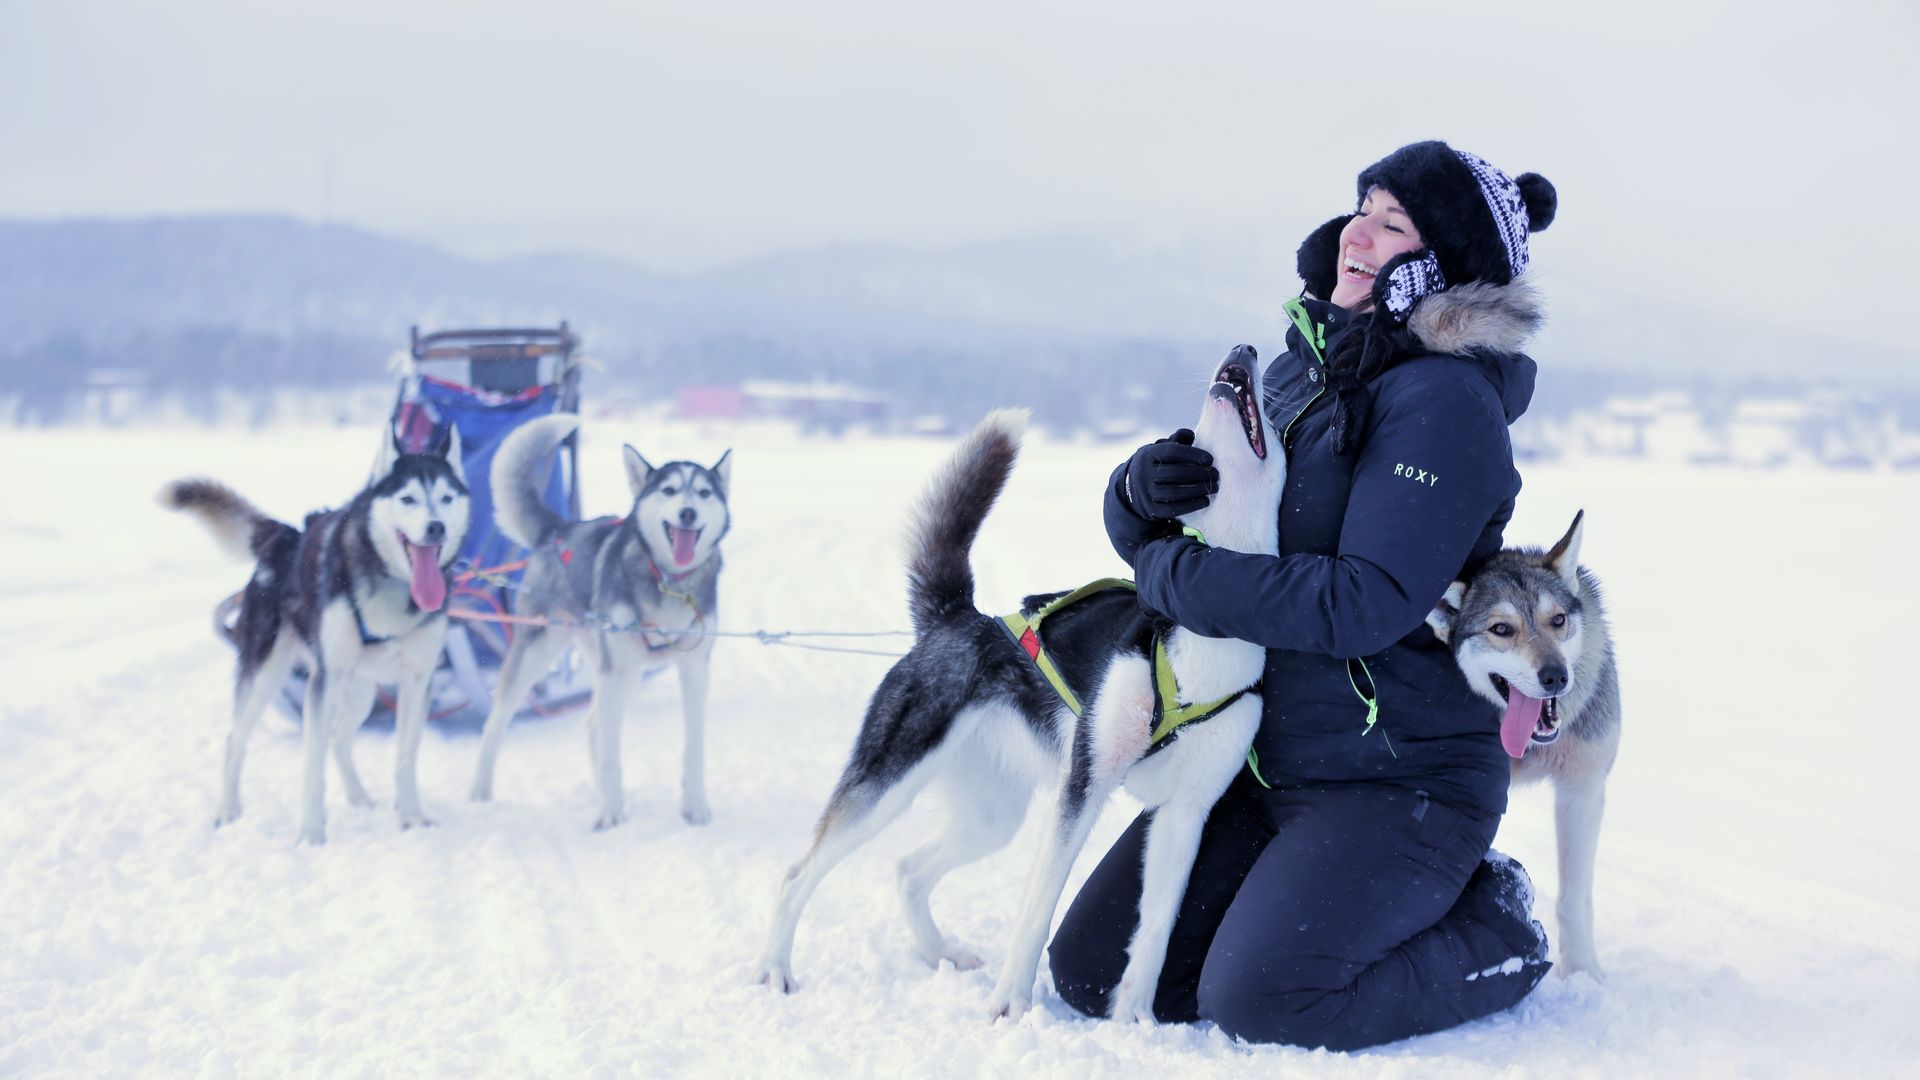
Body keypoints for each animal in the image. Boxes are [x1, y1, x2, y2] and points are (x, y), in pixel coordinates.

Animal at [165, 422, 472, 841]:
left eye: (446, 497)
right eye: (408, 498)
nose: (436, 526)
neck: (391, 584)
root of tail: (285, 539)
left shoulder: (418, 681)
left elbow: (405, 758)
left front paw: (410, 817)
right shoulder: (323, 680)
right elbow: (312, 768)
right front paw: (311, 833)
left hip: (360, 690)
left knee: (339, 740)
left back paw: (358, 796)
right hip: (267, 677)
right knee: (236, 741)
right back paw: (228, 810)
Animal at [468, 411, 729, 822]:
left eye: (704, 493)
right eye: (669, 490)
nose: (688, 513)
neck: (668, 582)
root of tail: (558, 529)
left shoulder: (694, 668)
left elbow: (694, 746)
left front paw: (695, 807)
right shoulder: (614, 670)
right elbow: (610, 752)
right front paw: (611, 815)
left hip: (625, 668)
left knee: (592, 725)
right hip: (543, 654)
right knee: (497, 723)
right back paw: (480, 791)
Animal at [756, 349, 1282, 1022]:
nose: (1244, 352)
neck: (1203, 633)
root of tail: (957, 616)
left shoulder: (1186, 813)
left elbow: (1158, 930)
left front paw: (1135, 1021)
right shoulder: (1083, 786)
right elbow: (1037, 911)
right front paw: (1010, 1005)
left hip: (992, 815)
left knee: (908, 868)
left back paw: (941, 954)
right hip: (889, 783)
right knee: (799, 872)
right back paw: (775, 967)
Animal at [1428, 511, 1620, 976]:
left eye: (1558, 620)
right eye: (1501, 629)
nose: (1555, 676)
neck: (1532, 748)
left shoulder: (1582, 791)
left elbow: (1574, 900)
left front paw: (1584, 974)